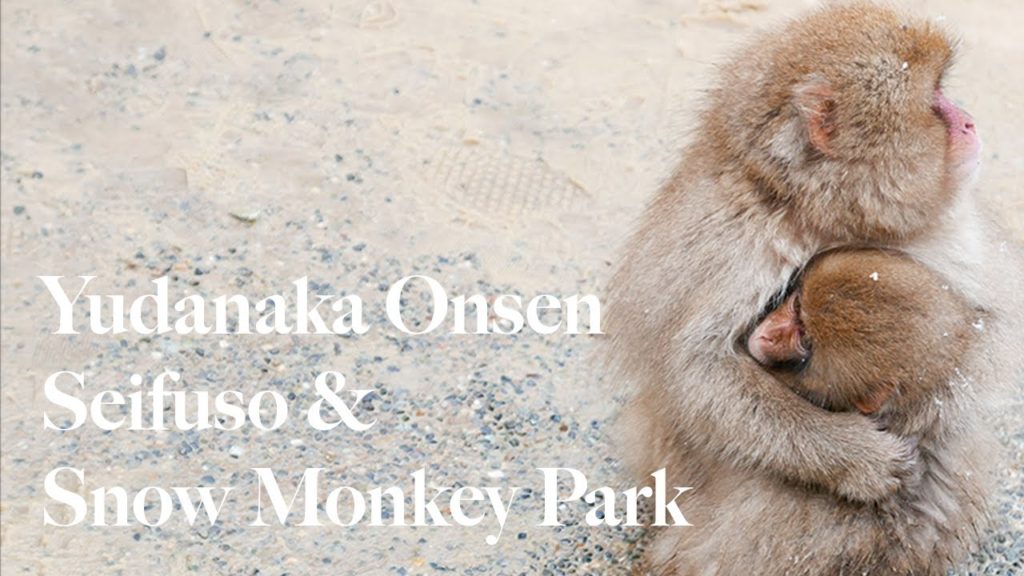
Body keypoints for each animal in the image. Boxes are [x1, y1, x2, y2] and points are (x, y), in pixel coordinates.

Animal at [604, 2, 1024, 573]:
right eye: (934, 99)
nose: (967, 119)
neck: (817, 208)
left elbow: (990, 328)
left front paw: (919, 413)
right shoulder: (732, 243)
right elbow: (698, 374)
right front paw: (861, 461)